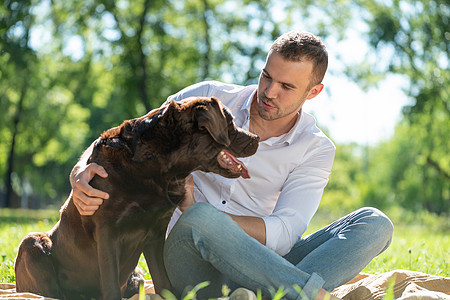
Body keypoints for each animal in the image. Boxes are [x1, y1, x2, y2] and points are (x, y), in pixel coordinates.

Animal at [14, 97, 258, 298]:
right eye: (230, 122)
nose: (256, 138)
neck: (156, 168)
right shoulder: (107, 231)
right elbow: (111, 285)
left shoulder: (156, 232)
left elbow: (163, 283)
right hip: (31, 243)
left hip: (138, 275)